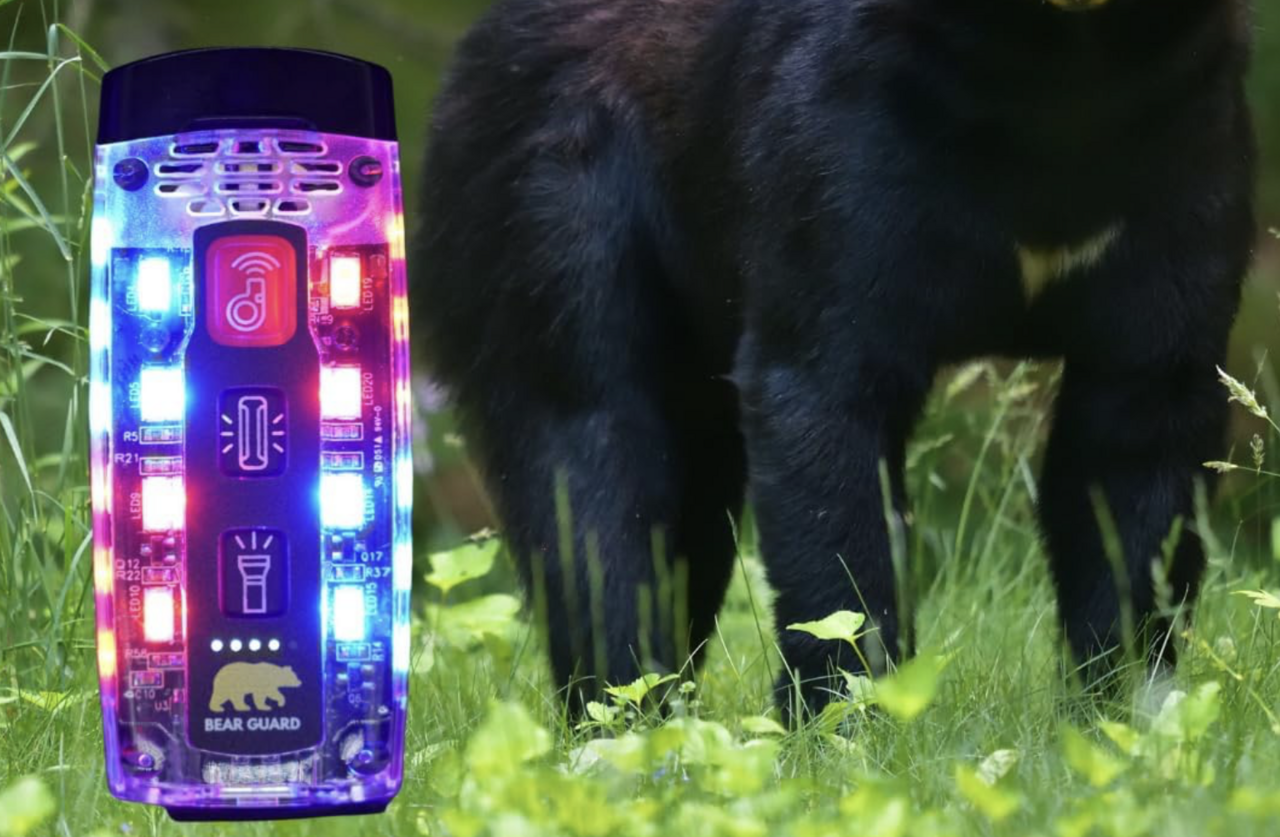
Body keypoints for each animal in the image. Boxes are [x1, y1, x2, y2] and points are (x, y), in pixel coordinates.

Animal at [413, 0, 1256, 718]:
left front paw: (1125, 712)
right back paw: (625, 716)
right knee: (591, 463)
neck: (1061, 61)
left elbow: (1137, 451)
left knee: (687, 506)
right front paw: (841, 720)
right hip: (549, 209)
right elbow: (824, 410)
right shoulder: (837, 143)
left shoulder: (1184, 154)